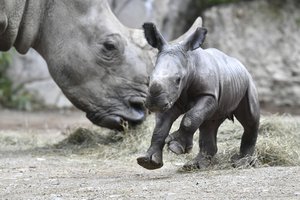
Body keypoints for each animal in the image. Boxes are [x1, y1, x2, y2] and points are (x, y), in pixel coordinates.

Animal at [137, 23, 258, 170]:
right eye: (149, 77)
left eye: (178, 79)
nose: (154, 103)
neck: (189, 62)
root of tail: (241, 65)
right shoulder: (170, 100)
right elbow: (160, 128)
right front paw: (148, 162)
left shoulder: (208, 94)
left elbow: (189, 118)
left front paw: (175, 147)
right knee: (209, 123)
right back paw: (195, 165)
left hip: (248, 84)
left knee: (250, 120)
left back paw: (242, 163)